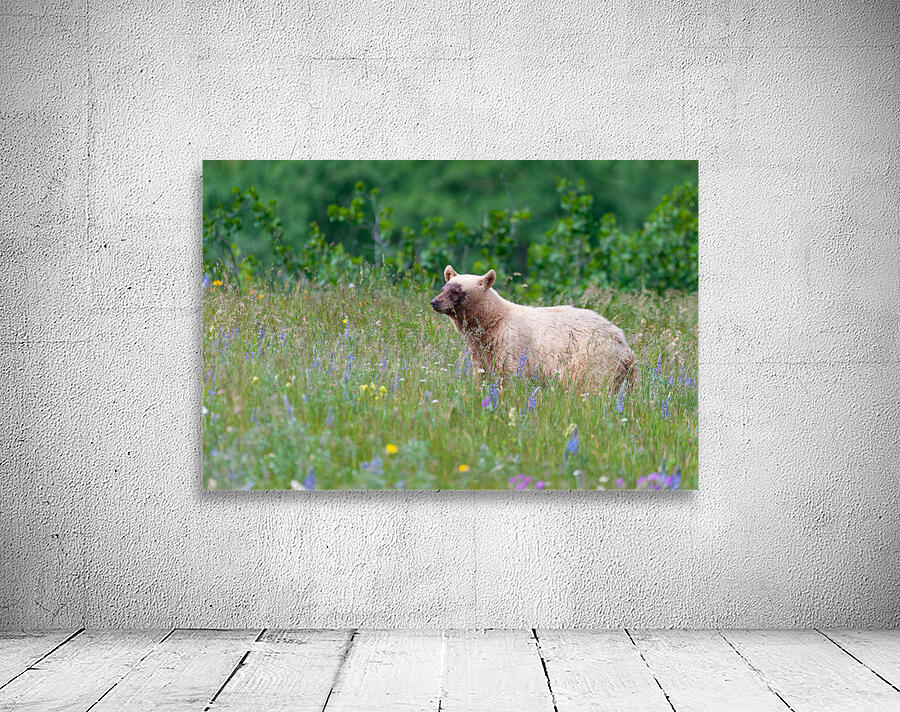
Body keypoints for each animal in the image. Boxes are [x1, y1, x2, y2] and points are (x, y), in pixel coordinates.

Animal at [430, 265, 638, 391]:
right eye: (443, 288)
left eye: (456, 291)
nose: (434, 302)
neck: (492, 322)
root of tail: (623, 344)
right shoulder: (481, 351)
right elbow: (483, 373)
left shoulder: (510, 344)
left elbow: (510, 375)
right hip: (627, 374)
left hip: (593, 360)